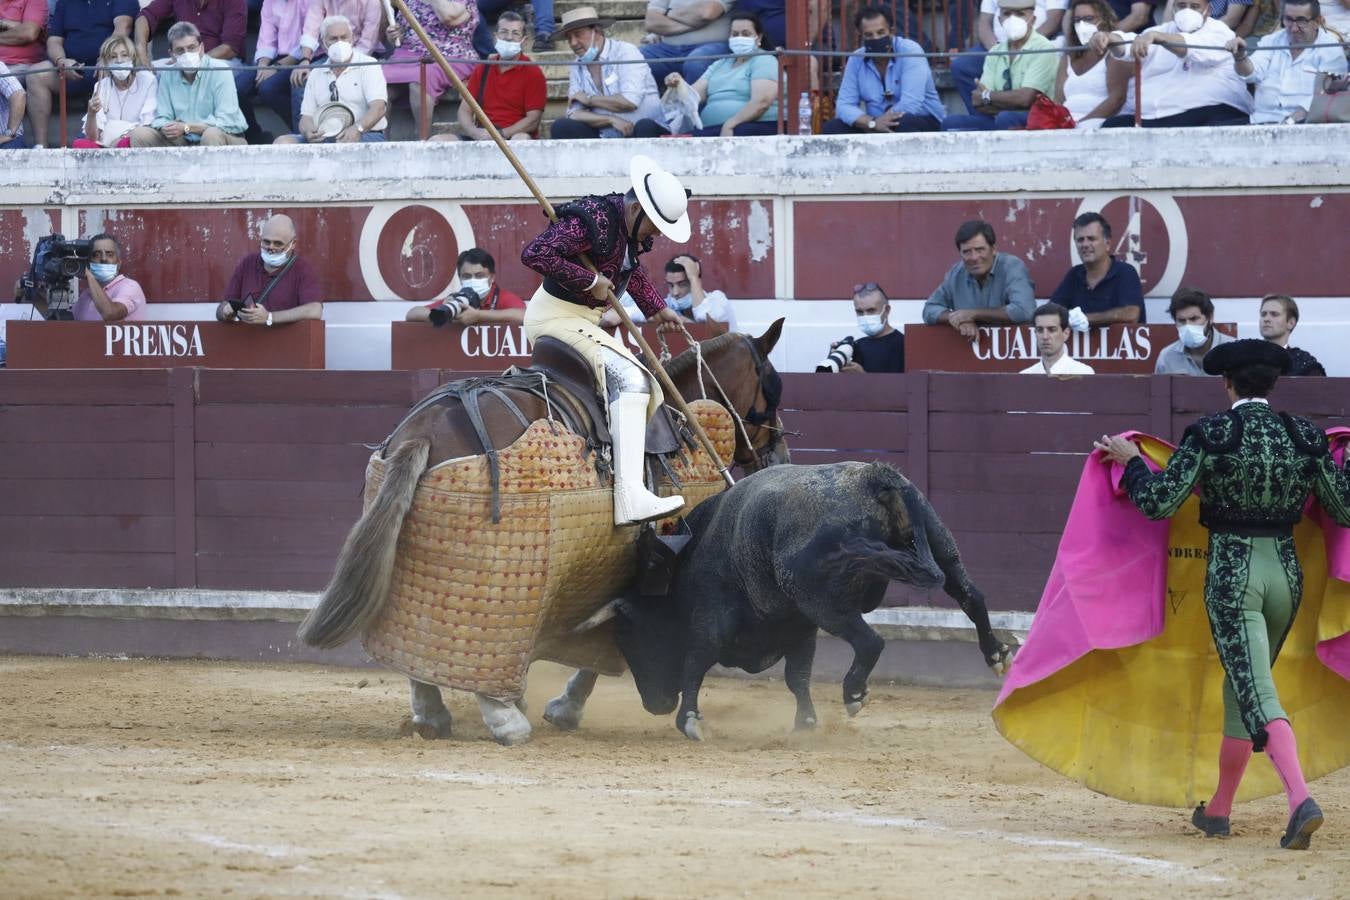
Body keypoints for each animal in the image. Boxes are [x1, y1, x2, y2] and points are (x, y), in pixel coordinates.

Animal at [301, 319, 788, 744]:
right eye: (773, 388)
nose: (780, 456)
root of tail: (423, 432)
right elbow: (607, 645)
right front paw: (564, 707)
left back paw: (432, 715)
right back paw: (505, 722)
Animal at [612, 461, 1015, 744]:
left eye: (633, 639)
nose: (656, 705)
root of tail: (873, 477)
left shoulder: (715, 618)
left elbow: (695, 661)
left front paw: (690, 722)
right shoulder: (799, 626)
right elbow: (798, 676)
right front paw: (805, 724)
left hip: (822, 600)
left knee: (870, 641)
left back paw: (853, 693)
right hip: (940, 543)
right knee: (971, 596)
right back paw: (997, 654)